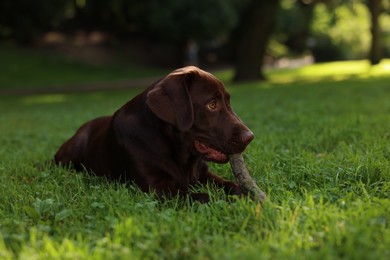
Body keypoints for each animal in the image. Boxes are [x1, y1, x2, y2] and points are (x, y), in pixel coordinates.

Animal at [55, 66, 256, 202]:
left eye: (228, 102)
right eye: (211, 104)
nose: (250, 137)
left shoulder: (203, 174)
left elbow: (231, 185)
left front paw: (243, 193)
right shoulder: (156, 187)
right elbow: (204, 197)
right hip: (70, 152)